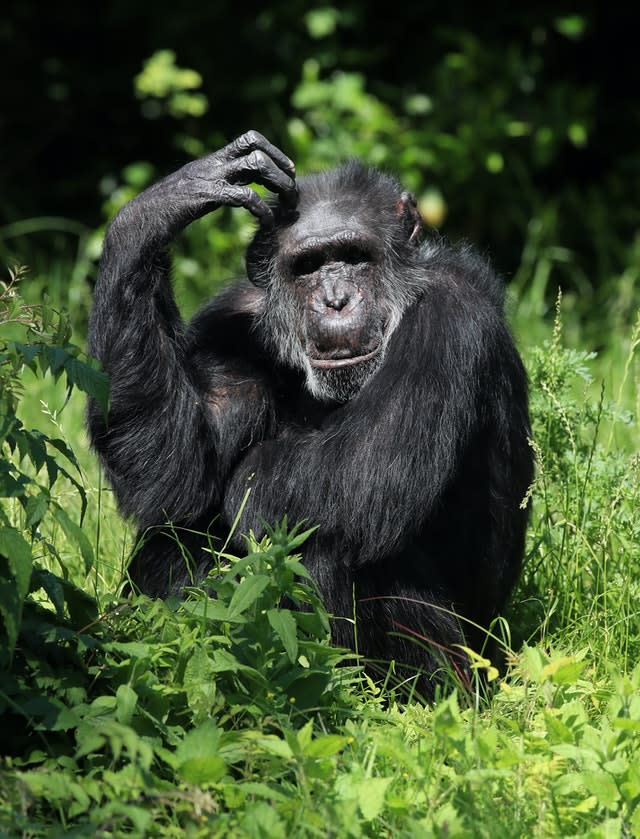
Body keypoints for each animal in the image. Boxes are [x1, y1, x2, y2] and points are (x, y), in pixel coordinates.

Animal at [87, 133, 532, 696]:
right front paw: (170, 202)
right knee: (183, 521)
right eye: (309, 266)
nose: (335, 299)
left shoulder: (451, 317)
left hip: (471, 666)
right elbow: (177, 473)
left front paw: (252, 481)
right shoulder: (230, 322)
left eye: (353, 256)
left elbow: (364, 474)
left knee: (328, 530)